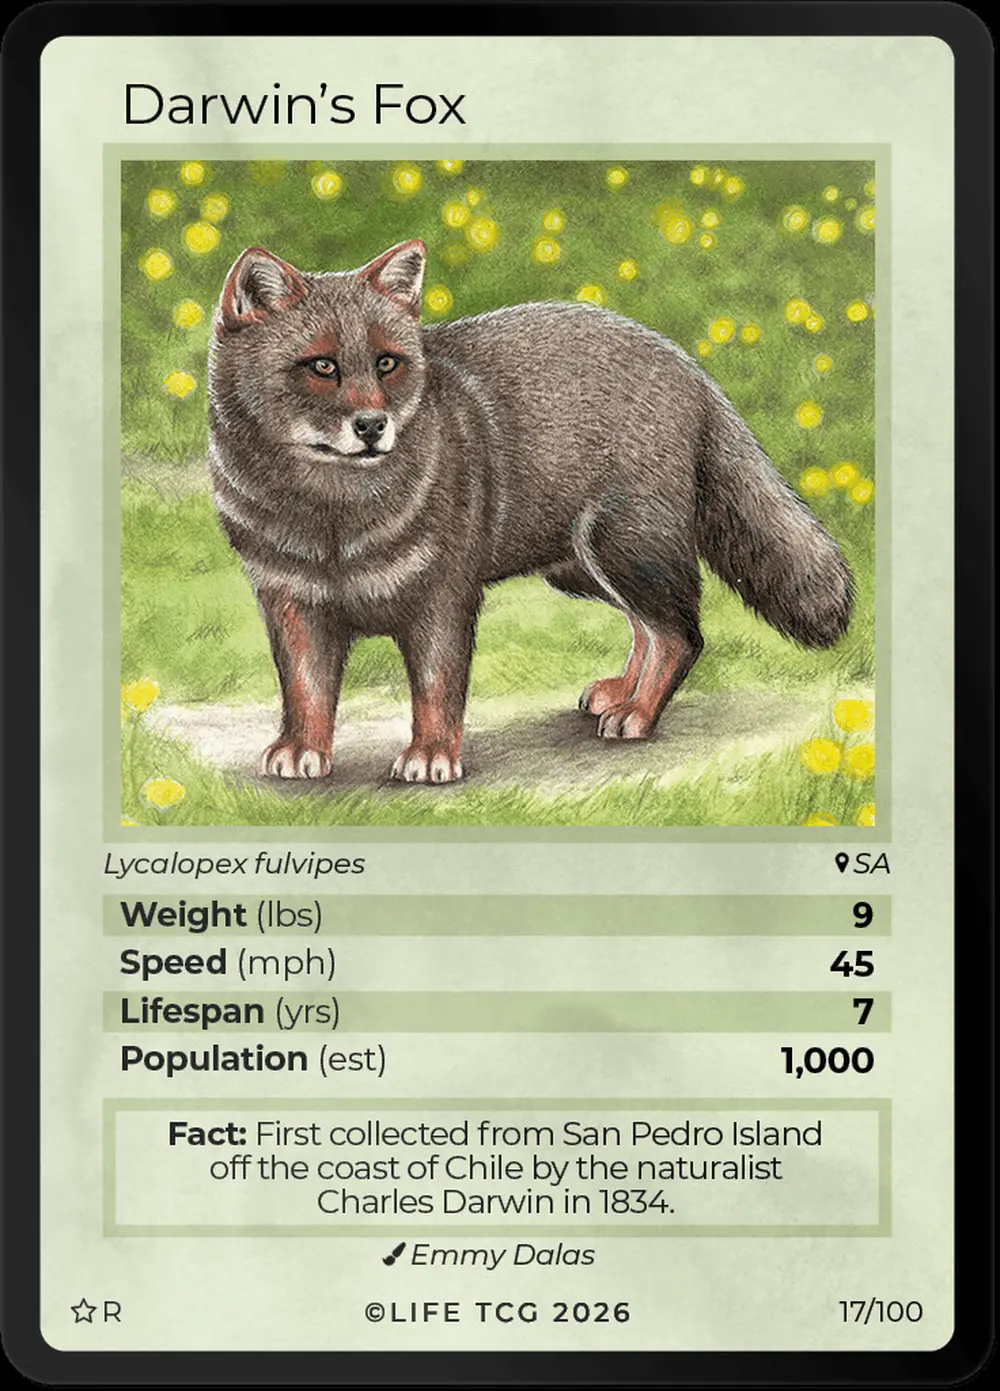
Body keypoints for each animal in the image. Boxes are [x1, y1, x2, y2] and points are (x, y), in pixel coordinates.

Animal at [207, 239, 853, 784]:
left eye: (387, 364)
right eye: (323, 366)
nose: (372, 426)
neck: (332, 526)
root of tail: (688, 367)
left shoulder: (445, 600)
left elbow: (438, 690)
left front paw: (432, 756)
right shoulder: (292, 603)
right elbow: (306, 693)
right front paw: (302, 749)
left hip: (623, 550)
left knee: (682, 634)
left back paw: (639, 714)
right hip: (584, 570)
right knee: (649, 627)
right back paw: (622, 693)